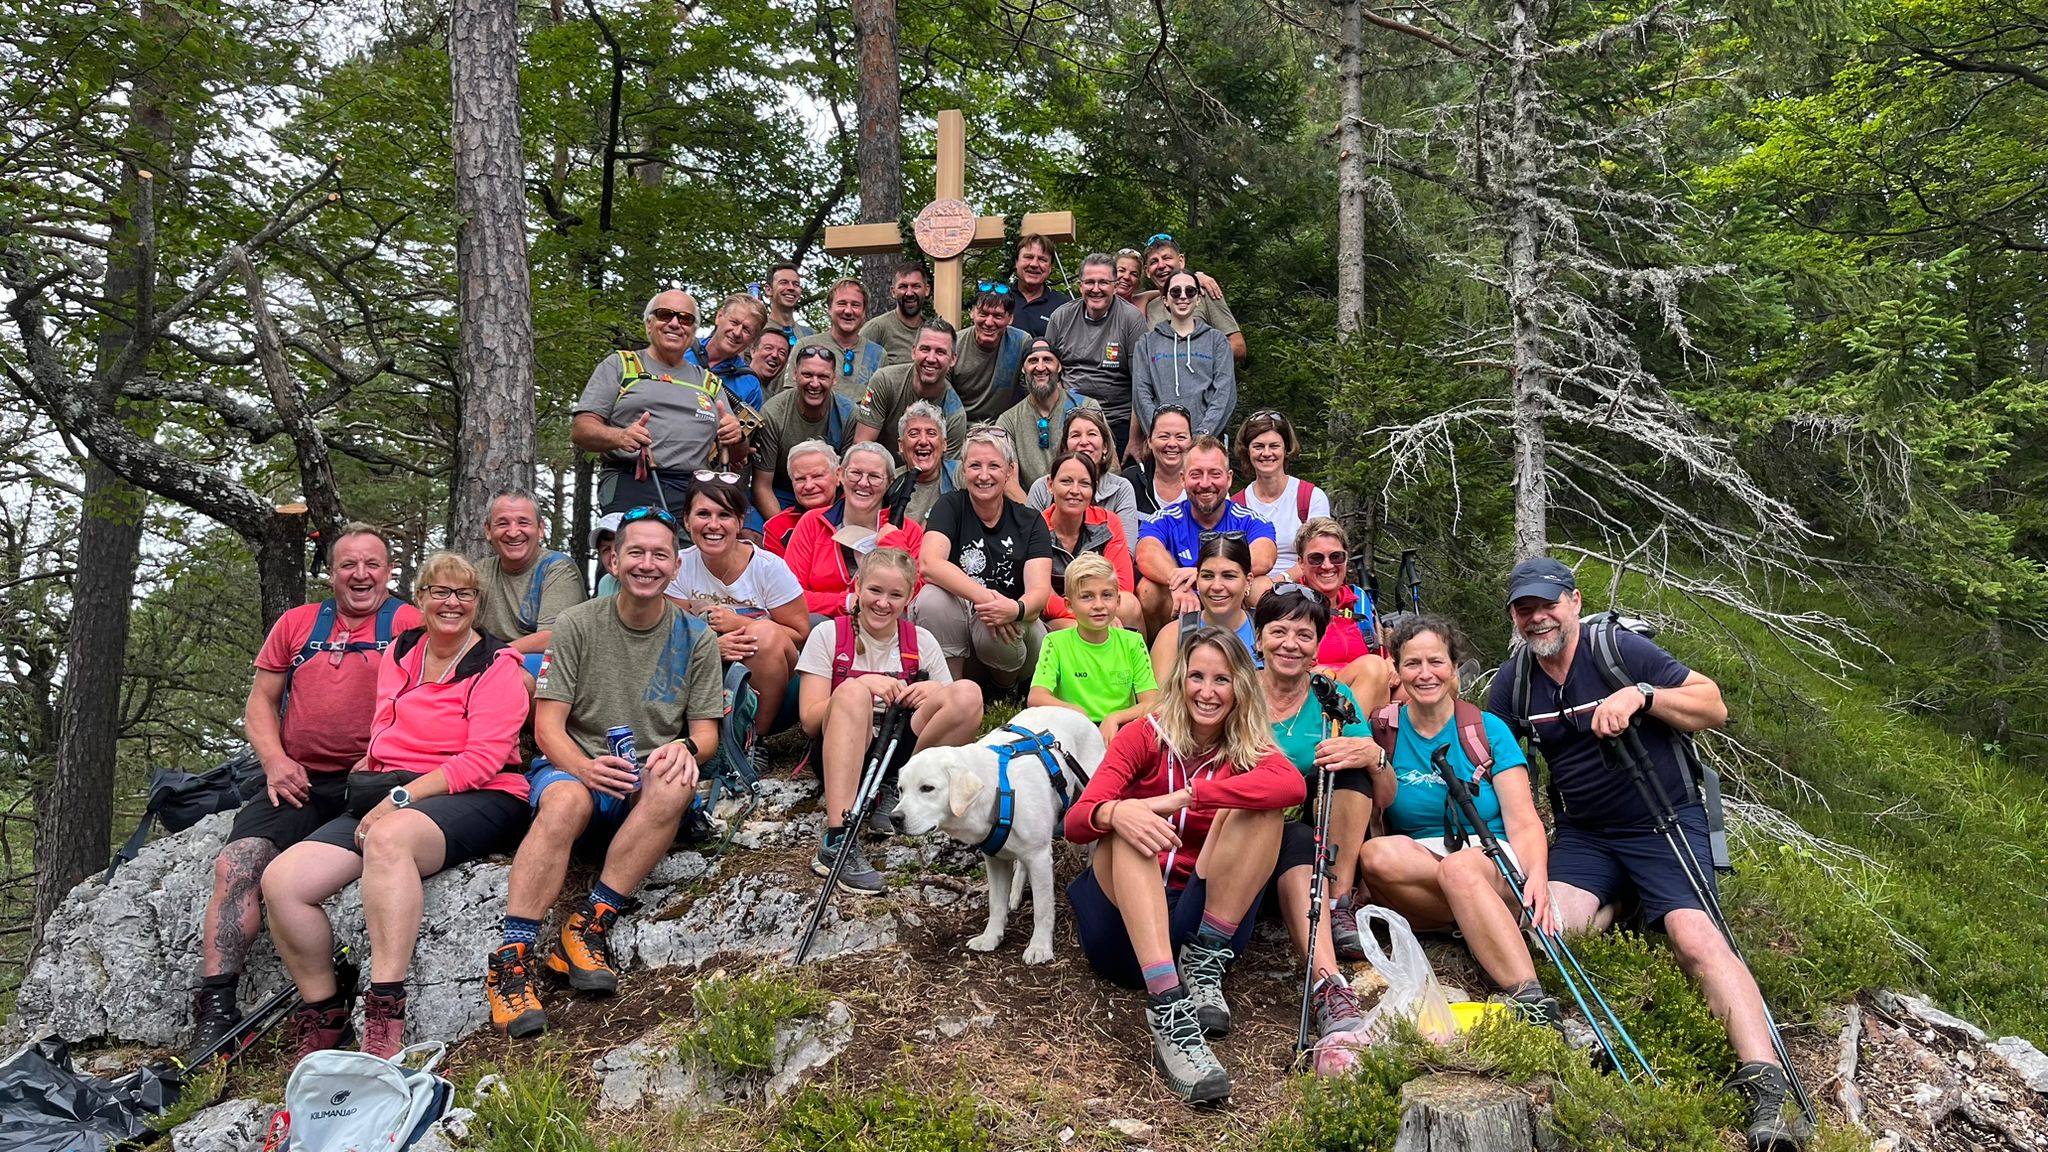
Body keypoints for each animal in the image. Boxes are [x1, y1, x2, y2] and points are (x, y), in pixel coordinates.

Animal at [892, 701, 1105, 959]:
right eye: (901, 789)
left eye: (927, 788)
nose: (895, 819)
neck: (999, 789)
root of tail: (1077, 712)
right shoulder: (995, 859)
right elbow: (995, 903)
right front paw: (991, 937)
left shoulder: (1040, 857)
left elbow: (1042, 909)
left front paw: (1040, 947)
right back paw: (1015, 895)